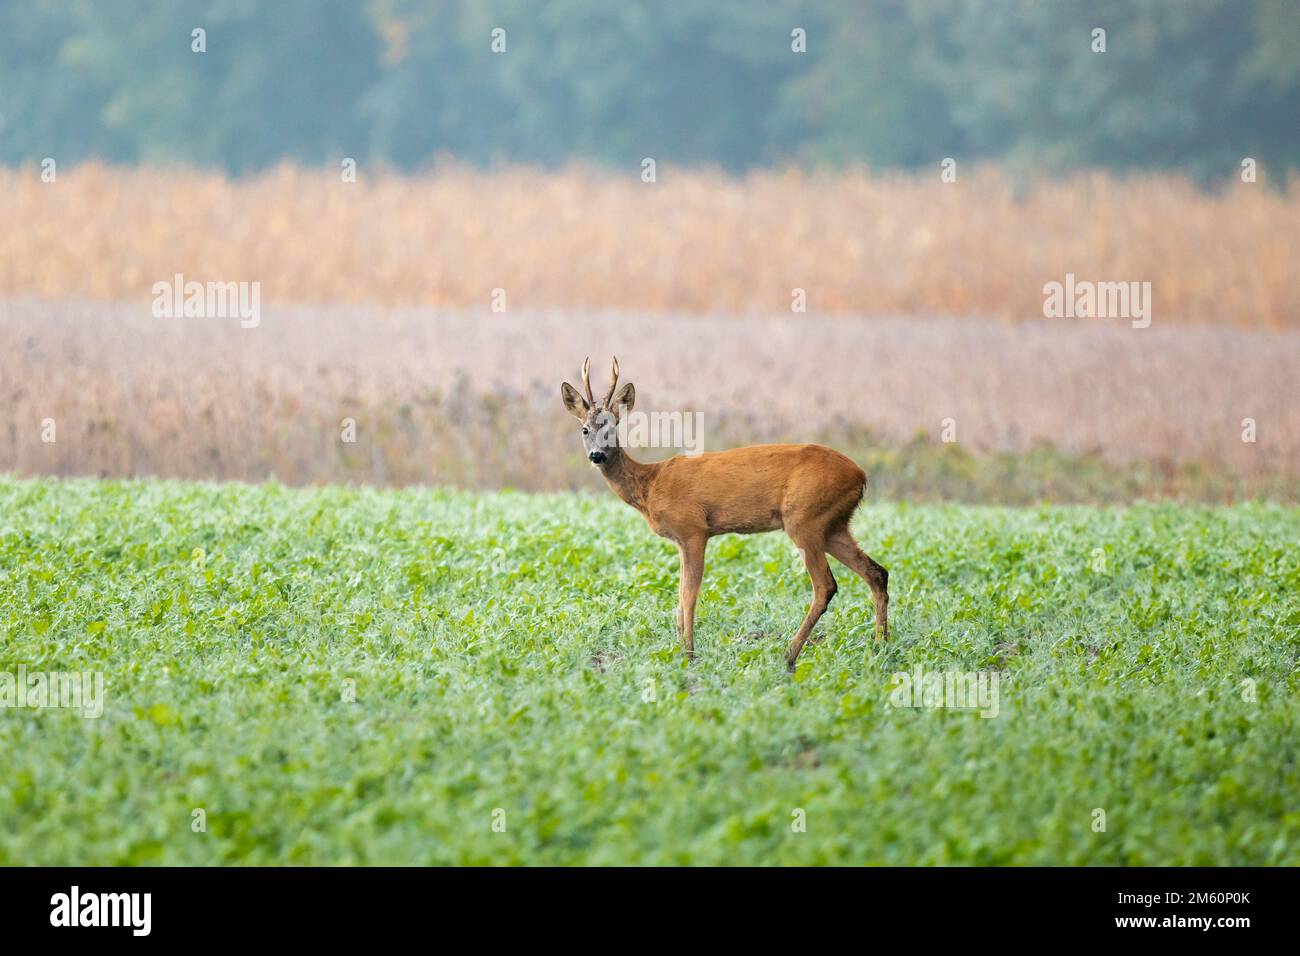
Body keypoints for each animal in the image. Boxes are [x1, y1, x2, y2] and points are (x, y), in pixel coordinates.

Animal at [561, 357, 889, 669]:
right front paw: (680, 650)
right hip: (834, 525)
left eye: (612, 427)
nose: (597, 455)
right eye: (585, 429)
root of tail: (861, 475)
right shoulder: (681, 539)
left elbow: (688, 595)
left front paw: (689, 655)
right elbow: (679, 596)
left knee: (825, 585)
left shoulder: (693, 529)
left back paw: (789, 655)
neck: (650, 485)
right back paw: (880, 646)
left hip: (804, 518)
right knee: (877, 572)